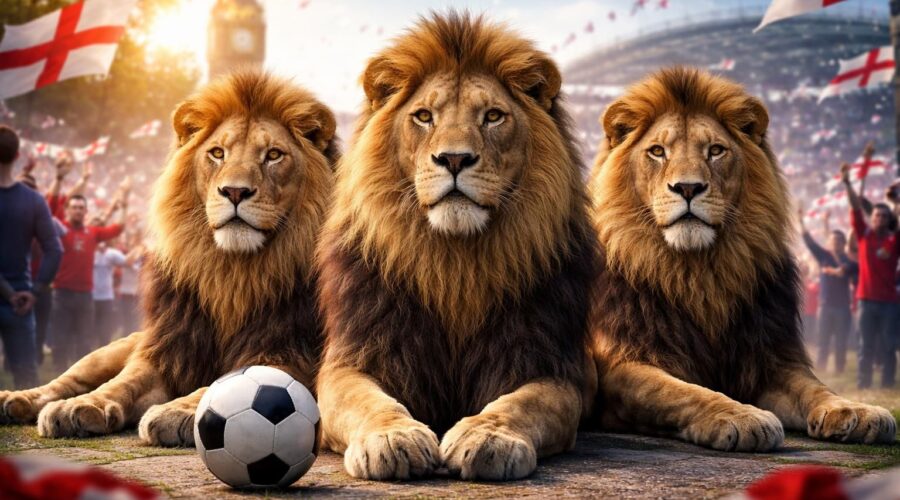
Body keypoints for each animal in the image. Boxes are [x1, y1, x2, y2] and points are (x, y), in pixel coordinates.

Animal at [0, 71, 337, 446]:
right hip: (113, 349)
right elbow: (122, 383)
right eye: (217, 153)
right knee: (66, 380)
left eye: (274, 155)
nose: (234, 191)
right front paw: (84, 405)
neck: (231, 272)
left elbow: (230, 381)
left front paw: (182, 410)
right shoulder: (167, 347)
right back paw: (16, 399)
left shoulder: (292, 353)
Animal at [315, 12, 598, 481]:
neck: (454, 264)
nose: (453, 159)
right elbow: (367, 402)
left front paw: (487, 437)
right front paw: (391, 439)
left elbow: (521, 404)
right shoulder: (355, 357)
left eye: (493, 116)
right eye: (424, 116)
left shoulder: (551, 366)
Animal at [588, 67, 896, 451]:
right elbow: (682, 392)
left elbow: (814, 387)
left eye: (716, 151)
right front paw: (741, 416)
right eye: (657, 151)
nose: (687, 188)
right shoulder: (619, 364)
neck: (696, 272)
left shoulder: (769, 358)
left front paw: (855, 410)